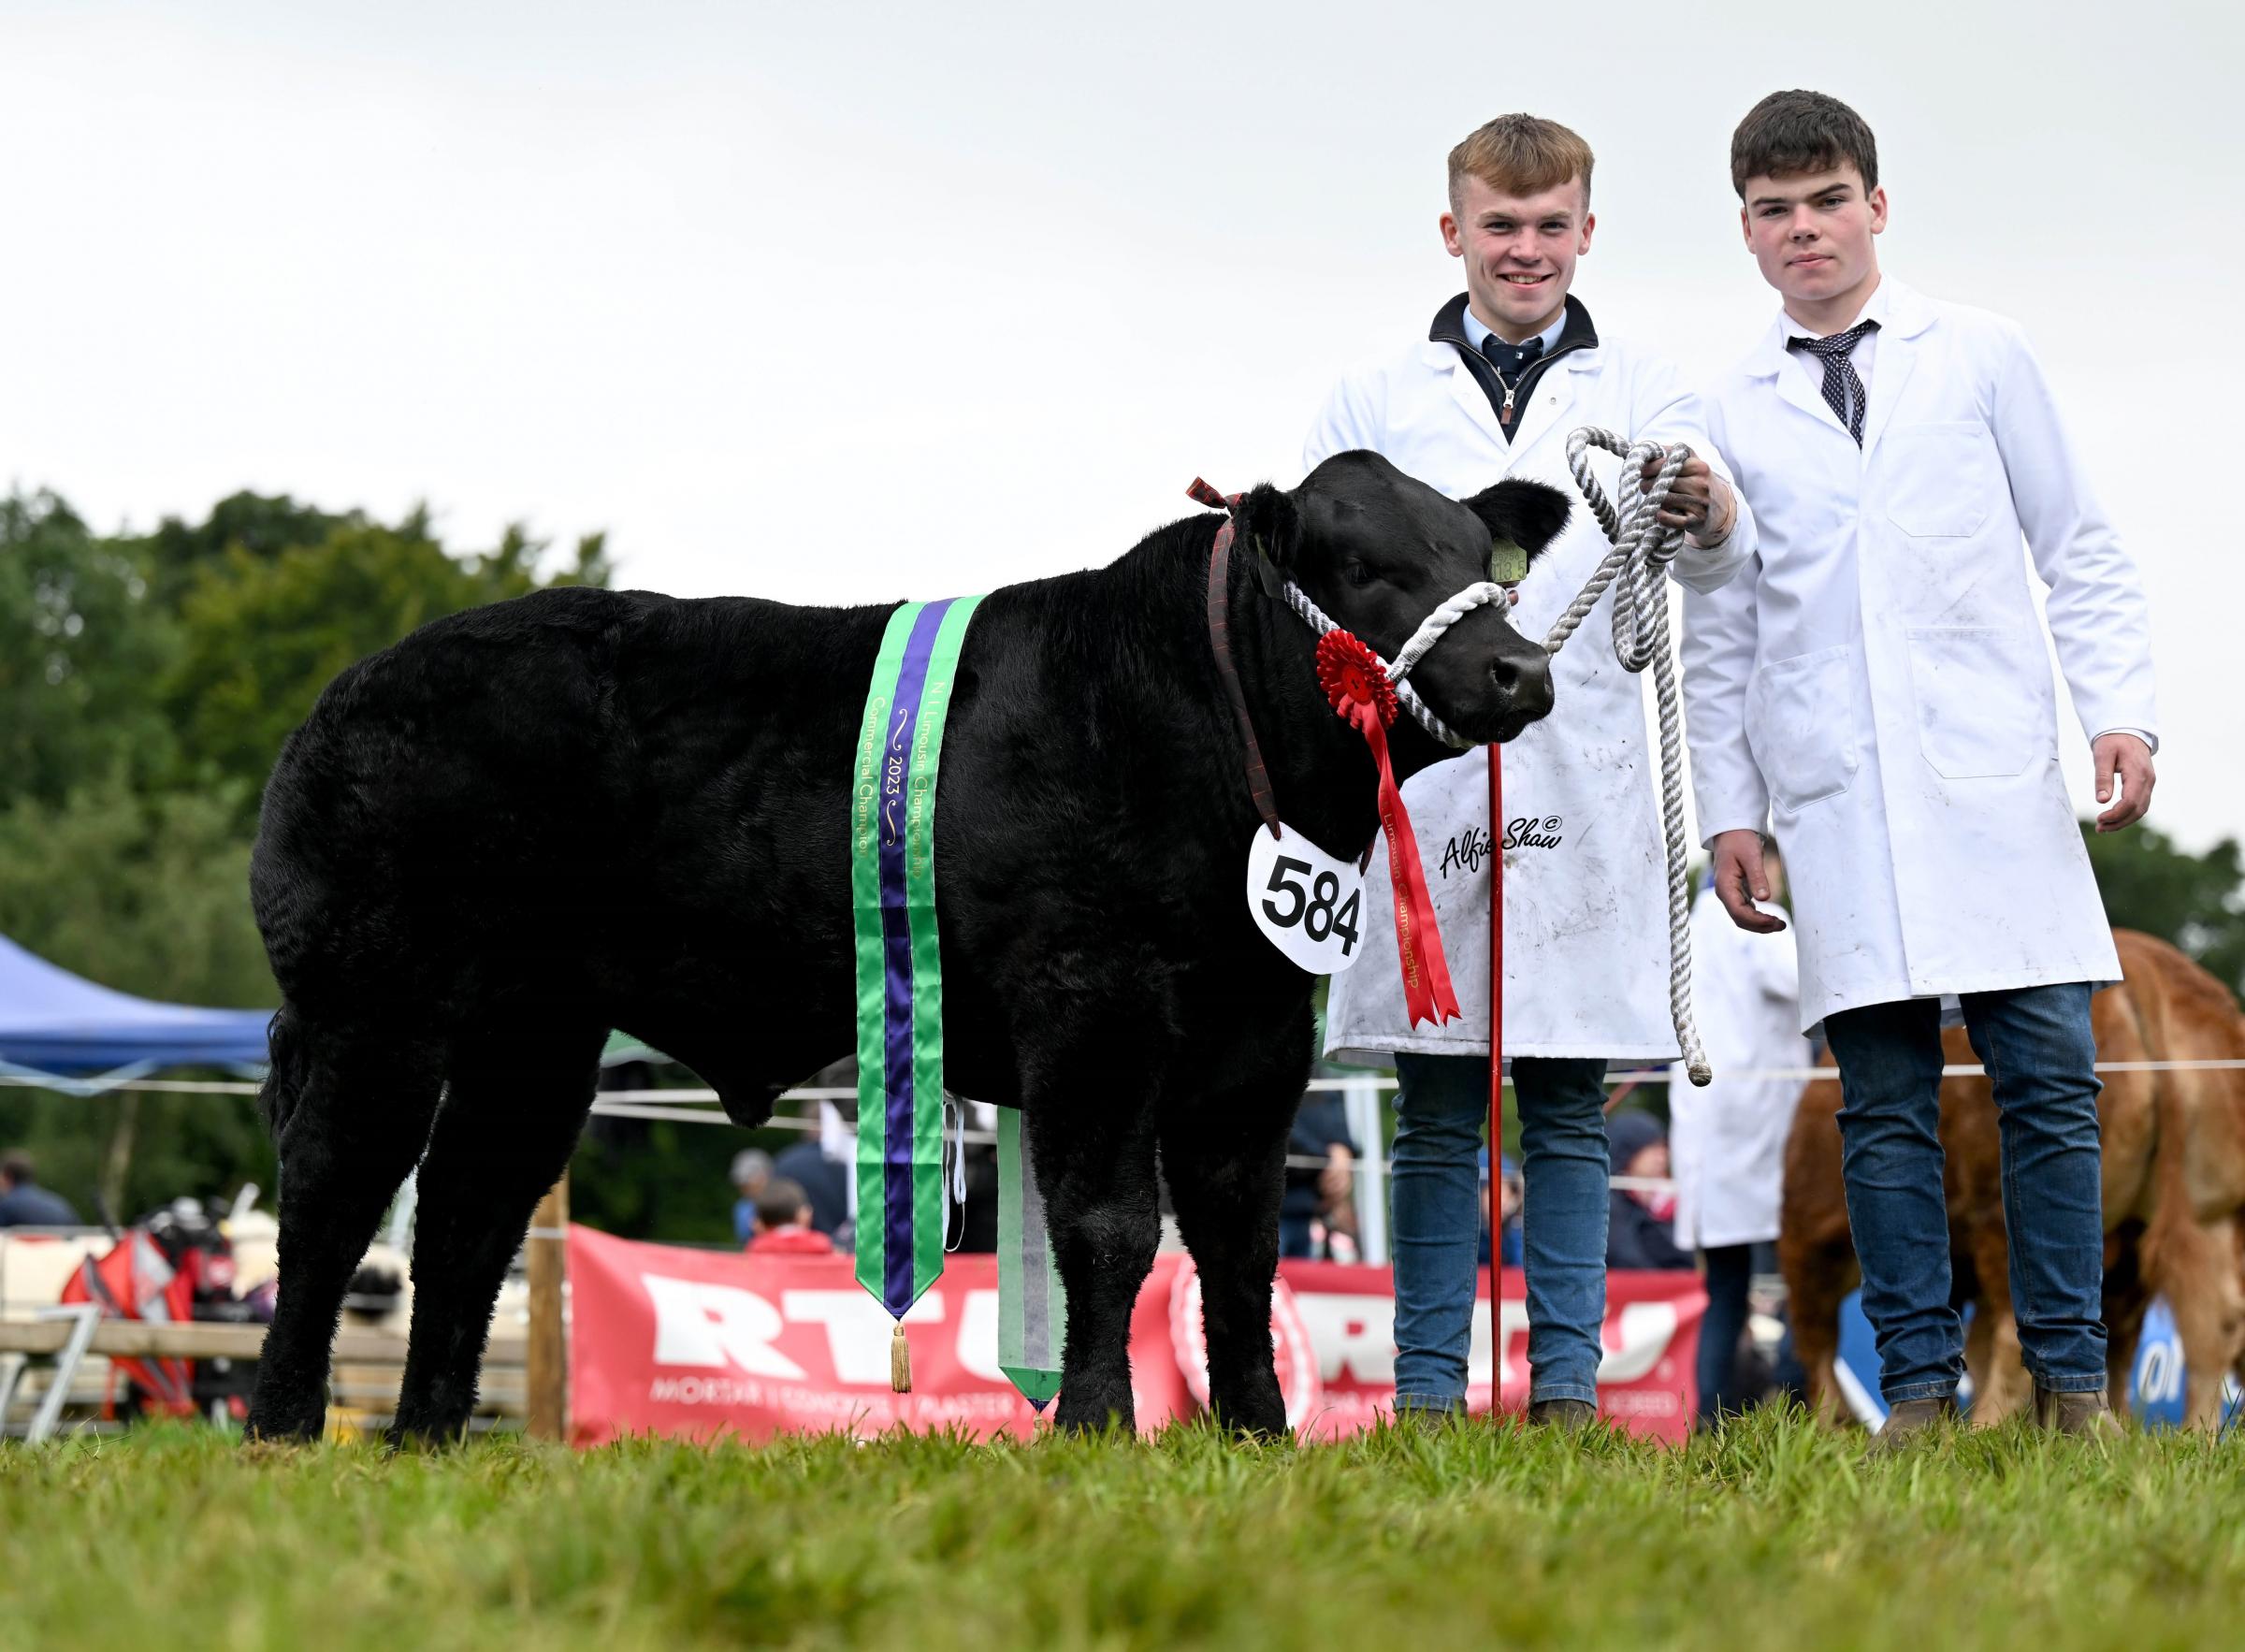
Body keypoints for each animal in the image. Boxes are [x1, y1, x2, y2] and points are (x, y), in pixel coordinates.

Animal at [245, 456, 1572, 1445]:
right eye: (1369, 567)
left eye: (1482, 563)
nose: (1520, 667)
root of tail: (348, 688)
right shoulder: (1092, 1004)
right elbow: (1112, 1226)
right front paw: (1099, 1425)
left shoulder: (1253, 1036)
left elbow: (1239, 1245)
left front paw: (1258, 1432)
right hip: (378, 1000)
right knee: (334, 1188)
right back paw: (284, 1424)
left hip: (533, 1027)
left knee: (468, 1207)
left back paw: (428, 1436)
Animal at [1787, 934, 2245, 1427]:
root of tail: (2146, 963)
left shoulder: (1806, 1237)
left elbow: (1819, 1343)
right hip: (2201, 1208)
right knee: (2208, 1322)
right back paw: (2190, 1433)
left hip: (1998, 1210)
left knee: (2012, 1327)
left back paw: (1982, 1425)